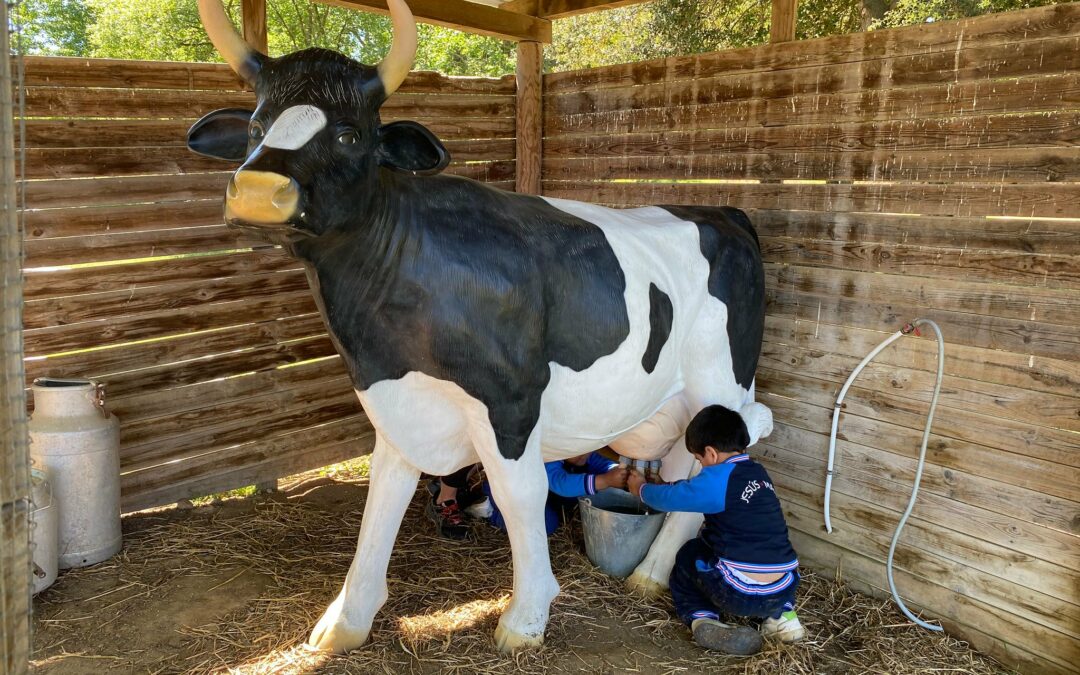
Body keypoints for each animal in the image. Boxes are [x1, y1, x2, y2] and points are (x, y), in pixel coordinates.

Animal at [190, 0, 773, 652]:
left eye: (349, 134)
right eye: (255, 127)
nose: (257, 190)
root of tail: (723, 210)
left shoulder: (511, 401)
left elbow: (521, 496)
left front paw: (526, 617)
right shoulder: (396, 399)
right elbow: (381, 499)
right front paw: (345, 619)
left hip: (722, 381)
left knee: (728, 456)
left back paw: (649, 573)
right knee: (682, 467)